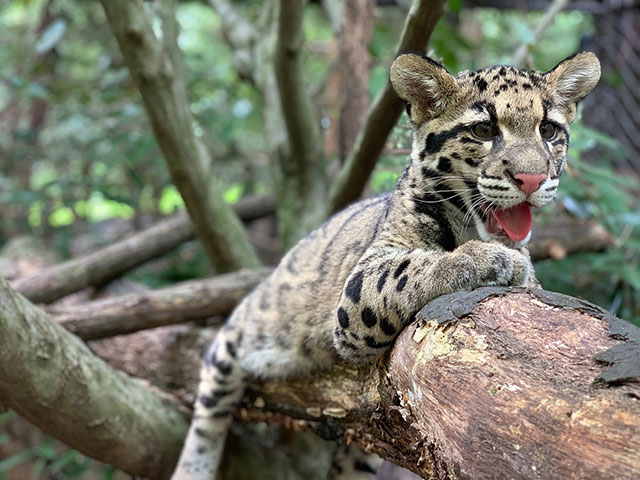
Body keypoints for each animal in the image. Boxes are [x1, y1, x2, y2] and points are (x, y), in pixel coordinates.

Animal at [171, 50, 600, 478]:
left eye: (548, 130)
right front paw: (490, 259)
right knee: (210, 402)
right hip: (242, 332)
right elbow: (414, 268)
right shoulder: (359, 286)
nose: (532, 179)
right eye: (483, 130)